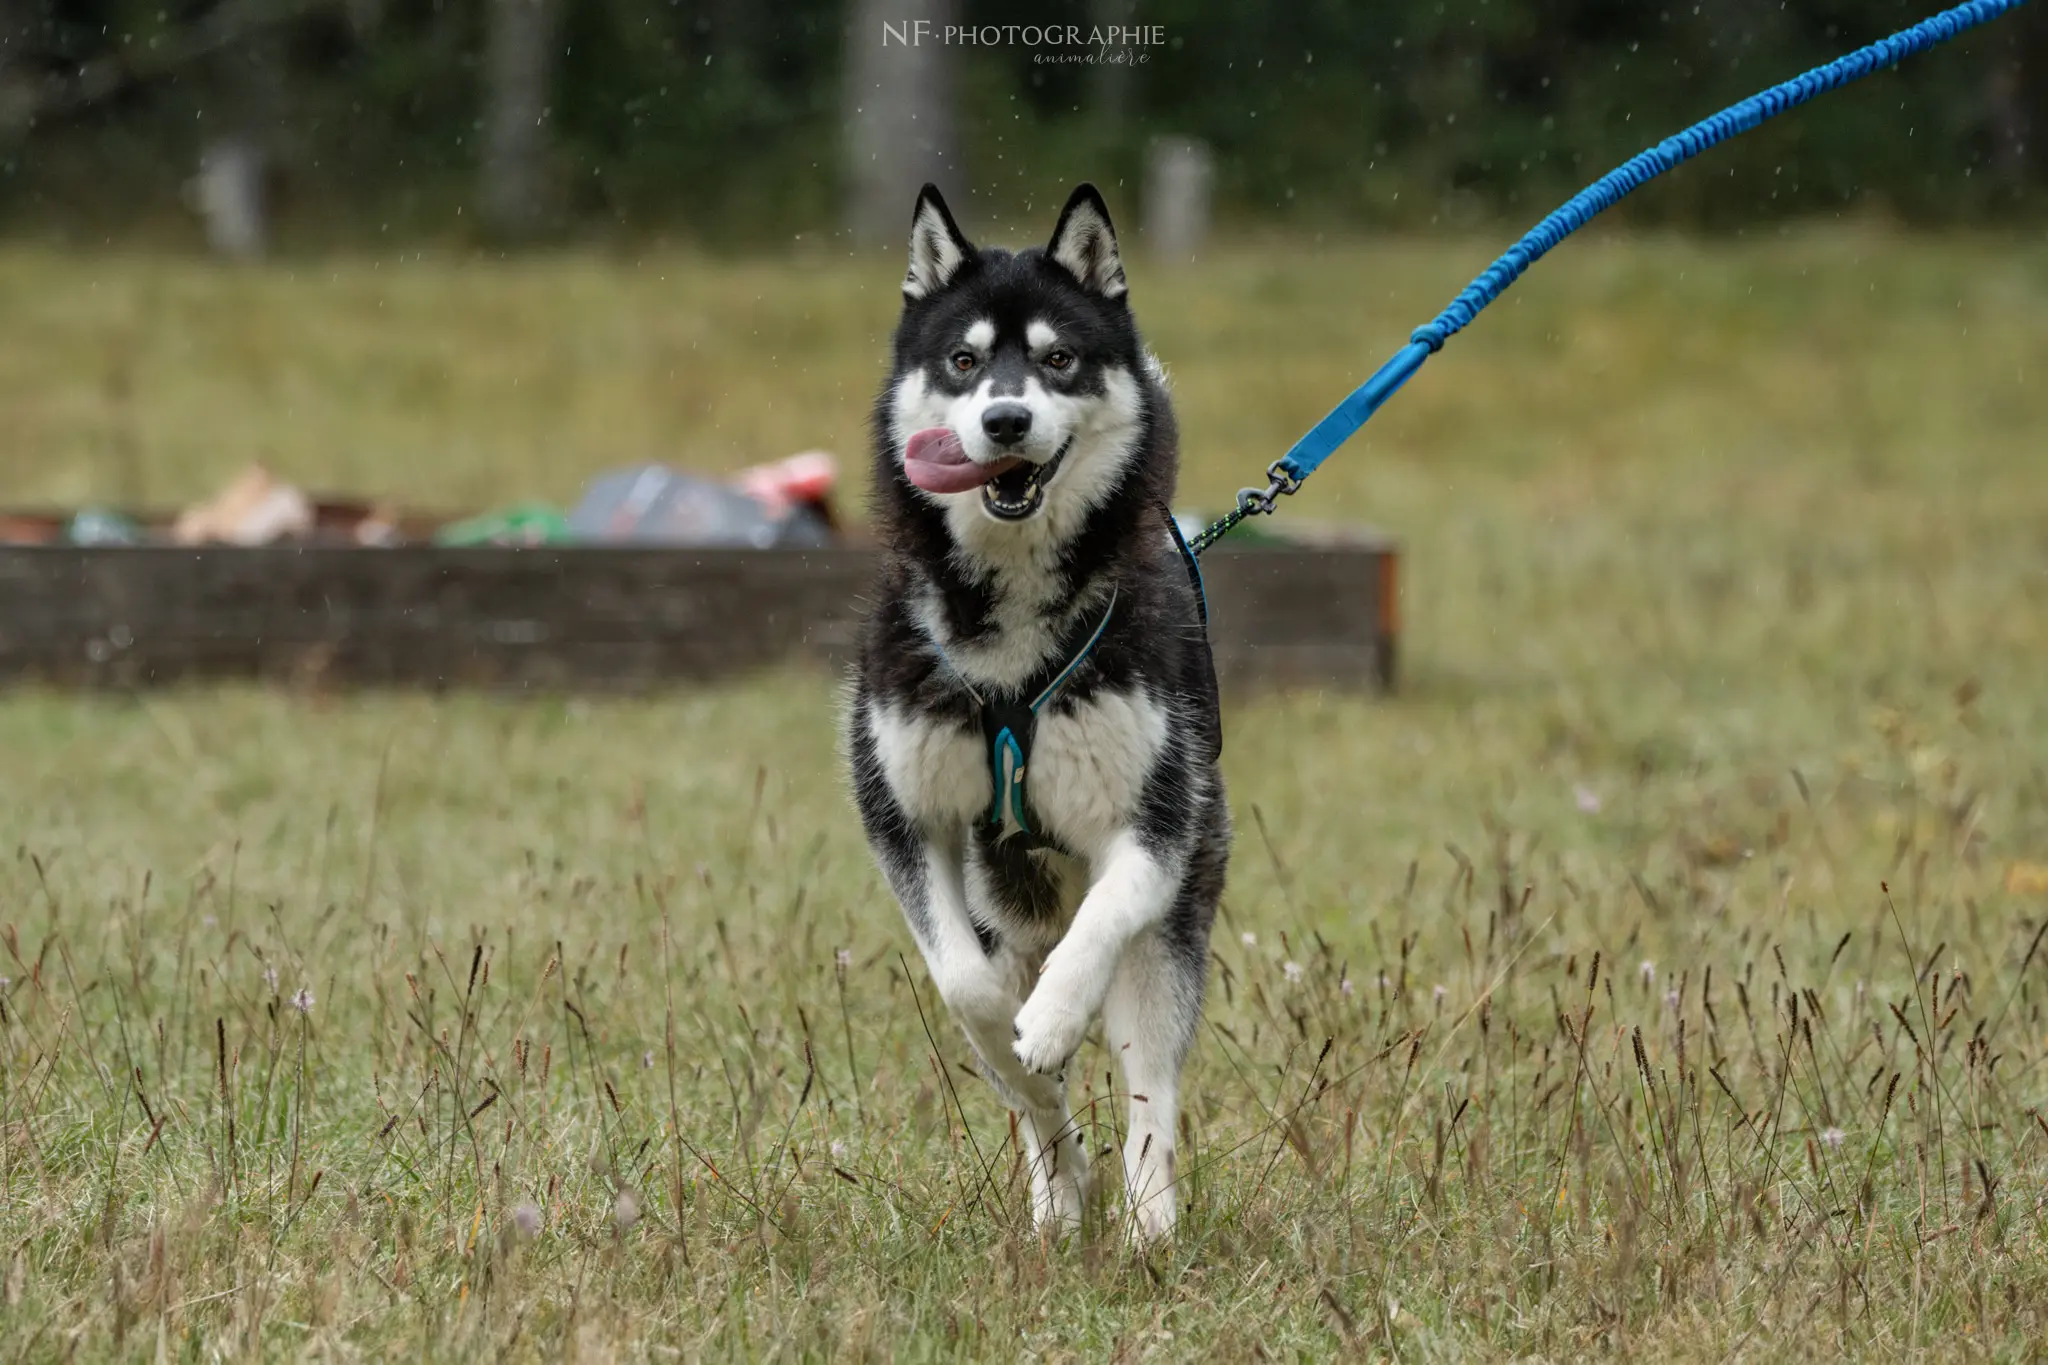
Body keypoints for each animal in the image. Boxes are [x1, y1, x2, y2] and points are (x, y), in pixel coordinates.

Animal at [847, 184, 1228, 1252]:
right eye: (964, 361)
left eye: (1059, 359)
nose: (1007, 417)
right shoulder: (906, 821)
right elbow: (972, 997)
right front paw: (1033, 1072)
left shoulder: (1156, 825)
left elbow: (1097, 930)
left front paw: (1056, 1018)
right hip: (1000, 900)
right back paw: (1059, 1196)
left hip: (1176, 918)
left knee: (1150, 1080)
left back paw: (1148, 1221)